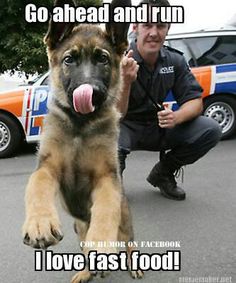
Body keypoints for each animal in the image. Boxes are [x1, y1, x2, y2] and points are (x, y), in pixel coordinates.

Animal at [22, 0, 144, 282]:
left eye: (103, 59)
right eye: (69, 60)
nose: (92, 92)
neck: (80, 125)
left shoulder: (107, 178)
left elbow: (105, 210)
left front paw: (101, 244)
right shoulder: (47, 167)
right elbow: (37, 187)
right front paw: (40, 222)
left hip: (125, 223)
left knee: (129, 241)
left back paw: (131, 262)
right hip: (79, 228)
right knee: (85, 247)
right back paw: (87, 271)